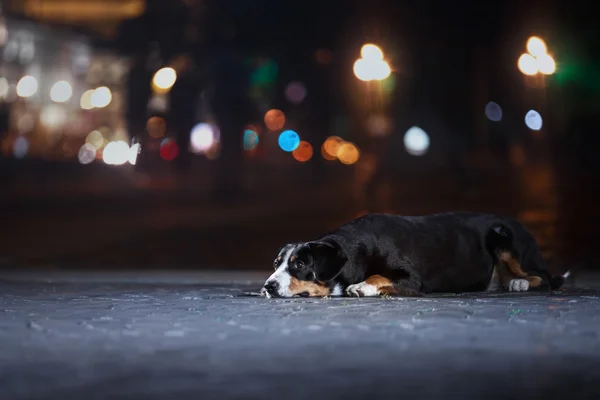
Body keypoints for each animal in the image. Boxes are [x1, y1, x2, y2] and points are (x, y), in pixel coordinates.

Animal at [260, 212, 568, 296]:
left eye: (300, 264)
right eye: (276, 263)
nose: (268, 286)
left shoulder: (411, 278)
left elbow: (378, 275)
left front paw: (362, 286)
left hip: (504, 236)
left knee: (543, 276)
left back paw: (519, 282)